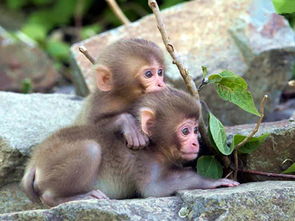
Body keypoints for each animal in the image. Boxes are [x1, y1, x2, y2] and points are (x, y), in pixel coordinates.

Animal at [21, 88, 240, 207]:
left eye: (196, 130)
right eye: (185, 131)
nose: (196, 142)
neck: (155, 147)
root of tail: (35, 161)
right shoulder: (145, 162)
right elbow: (154, 189)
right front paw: (213, 181)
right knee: (90, 149)